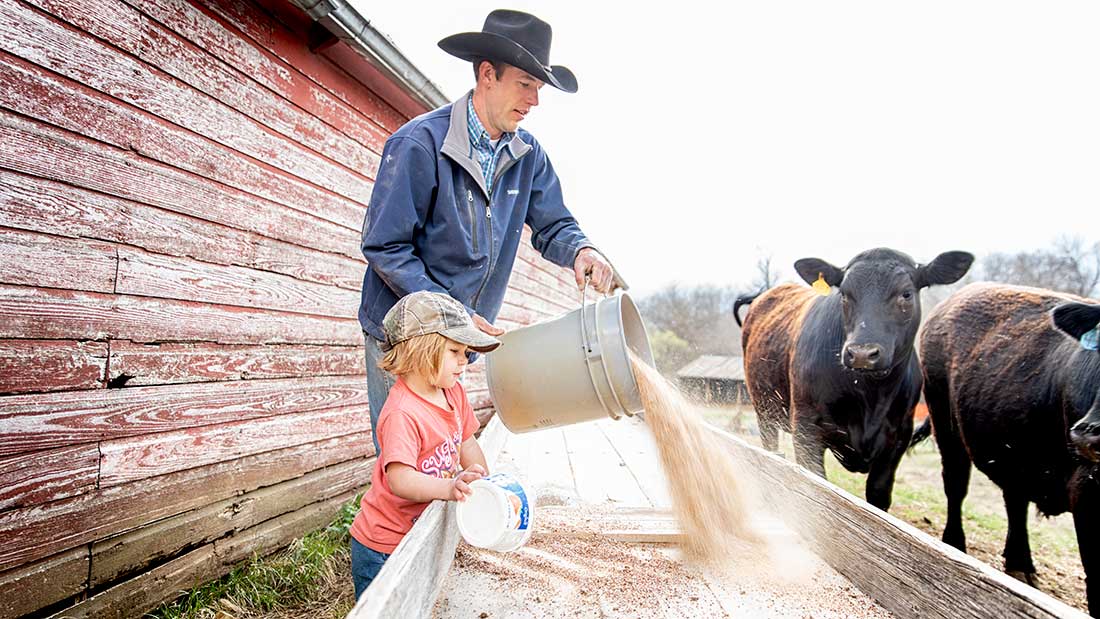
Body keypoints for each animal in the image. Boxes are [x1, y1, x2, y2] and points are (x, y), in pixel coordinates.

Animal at [730, 249, 972, 510]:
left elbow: (878, 495)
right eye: (844, 294)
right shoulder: (806, 427)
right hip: (765, 411)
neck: (870, 397)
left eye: (906, 294)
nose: (862, 353)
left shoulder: (898, 438)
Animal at [919, 283, 1100, 611]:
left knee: (1015, 500)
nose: (1088, 434)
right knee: (956, 486)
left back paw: (1020, 566)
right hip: (946, 424)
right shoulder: (1086, 489)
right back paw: (956, 544)